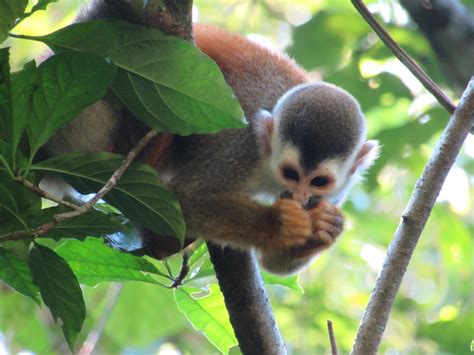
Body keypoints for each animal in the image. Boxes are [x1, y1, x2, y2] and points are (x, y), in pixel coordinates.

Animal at [43, 8, 378, 276]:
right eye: (291, 174)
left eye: (318, 182)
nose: (300, 197)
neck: (267, 166)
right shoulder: (239, 146)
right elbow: (188, 197)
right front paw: (277, 224)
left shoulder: (340, 190)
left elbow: (274, 263)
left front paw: (325, 228)